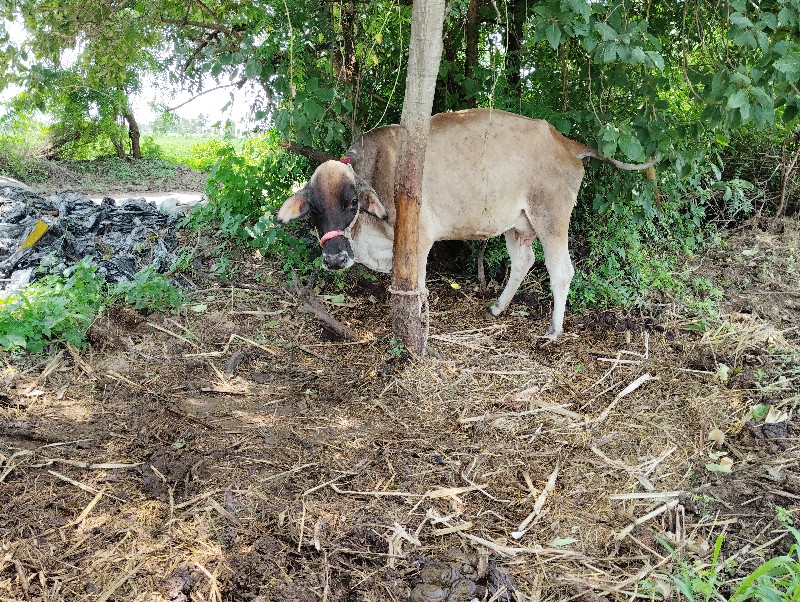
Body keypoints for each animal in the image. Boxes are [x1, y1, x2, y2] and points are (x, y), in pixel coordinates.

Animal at [278, 109, 652, 338]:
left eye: (352, 202)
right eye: (313, 209)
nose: (334, 258)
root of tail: (565, 141)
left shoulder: (419, 240)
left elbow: (417, 287)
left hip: (551, 216)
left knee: (561, 271)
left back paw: (553, 331)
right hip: (517, 223)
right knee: (524, 261)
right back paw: (499, 307)